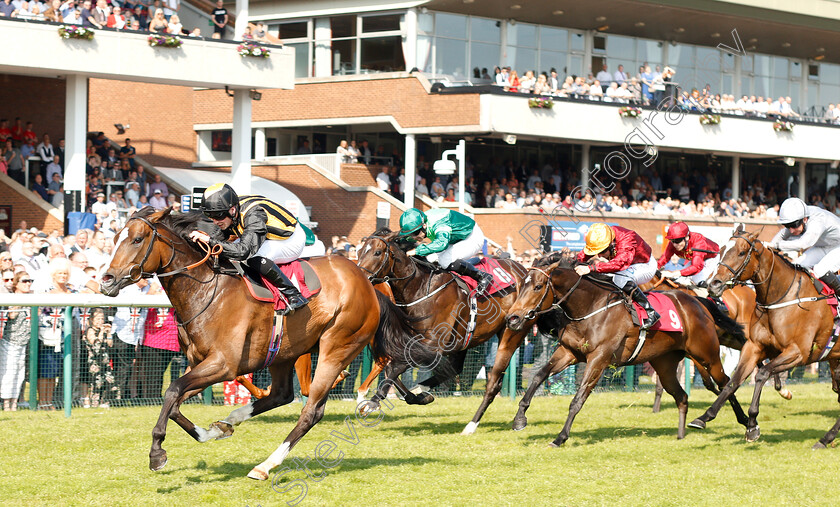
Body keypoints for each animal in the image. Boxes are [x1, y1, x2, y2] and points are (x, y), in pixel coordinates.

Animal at [101, 208, 436, 478]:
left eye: (137, 239)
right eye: (115, 237)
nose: (106, 280)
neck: (207, 292)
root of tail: (368, 283)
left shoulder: (222, 364)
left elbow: (171, 393)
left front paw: (157, 453)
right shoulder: (200, 364)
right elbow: (173, 401)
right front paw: (211, 432)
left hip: (337, 346)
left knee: (312, 410)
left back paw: (265, 465)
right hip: (283, 352)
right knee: (281, 395)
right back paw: (232, 420)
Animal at [498, 253, 748, 444]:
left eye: (538, 286)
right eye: (520, 286)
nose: (513, 318)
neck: (591, 307)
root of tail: (698, 302)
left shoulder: (599, 358)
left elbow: (578, 399)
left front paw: (560, 437)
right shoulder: (569, 352)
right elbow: (538, 375)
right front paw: (519, 419)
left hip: (707, 354)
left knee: (726, 383)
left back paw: (742, 422)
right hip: (665, 364)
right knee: (682, 396)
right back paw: (681, 434)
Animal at [688, 228, 840, 446]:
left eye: (742, 252)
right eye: (722, 250)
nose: (714, 284)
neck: (782, 297)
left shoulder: (798, 353)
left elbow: (762, 373)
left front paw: (752, 424)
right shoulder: (754, 347)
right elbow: (733, 381)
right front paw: (704, 417)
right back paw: (826, 439)